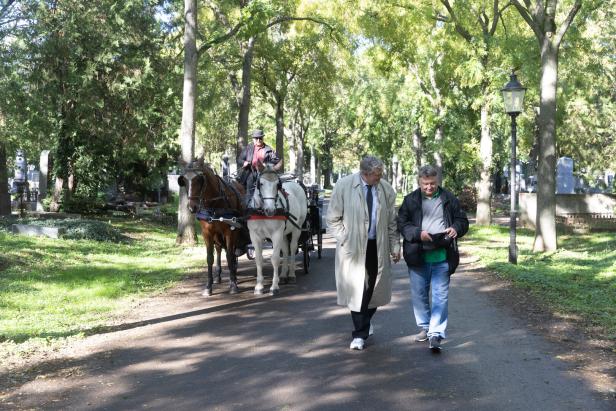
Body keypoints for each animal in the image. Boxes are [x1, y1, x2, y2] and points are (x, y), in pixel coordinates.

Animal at [177, 160, 247, 296]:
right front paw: (208, 286)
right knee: (219, 249)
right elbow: (210, 258)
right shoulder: (207, 233)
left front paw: (233, 284)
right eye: (185, 181)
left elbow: (229, 256)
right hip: (217, 235)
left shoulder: (230, 231)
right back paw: (218, 275)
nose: (192, 207)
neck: (215, 204)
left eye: (199, 180)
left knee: (232, 252)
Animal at [247, 165, 308, 296]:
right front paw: (259, 286)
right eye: (261, 183)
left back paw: (291, 274)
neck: (263, 214)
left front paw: (274, 286)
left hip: (297, 228)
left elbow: (274, 259)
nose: (270, 210)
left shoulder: (276, 234)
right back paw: (284, 275)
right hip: (283, 233)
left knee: (292, 248)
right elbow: (259, 259)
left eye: (277, 185)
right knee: (285, 250)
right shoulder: (254, 236)